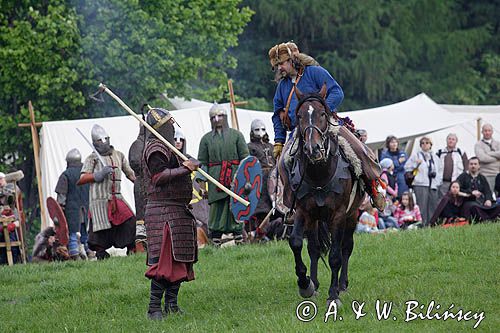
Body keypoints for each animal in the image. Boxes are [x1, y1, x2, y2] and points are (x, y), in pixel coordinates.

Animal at [278, 83, 364, 306]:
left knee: (346, 247)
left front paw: (333, 295)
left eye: (323, 114)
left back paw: (342, 285)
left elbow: (335, 255)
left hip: (352, 215)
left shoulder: (339, 215)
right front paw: (305, 284)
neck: (319, 174)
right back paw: (315, 284)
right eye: (299, 116)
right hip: (315, 220)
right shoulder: (304, 213)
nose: (313, 148)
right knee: (314, 248)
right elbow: (297, 243)